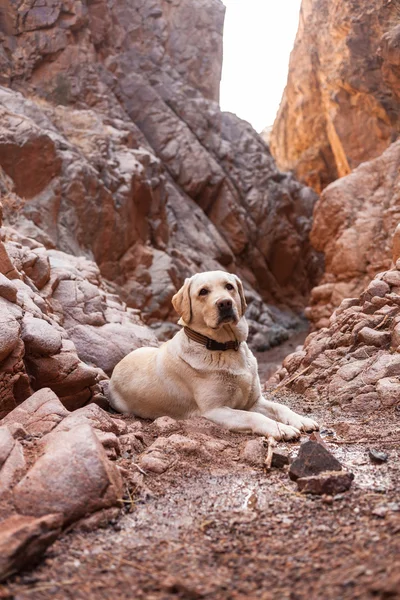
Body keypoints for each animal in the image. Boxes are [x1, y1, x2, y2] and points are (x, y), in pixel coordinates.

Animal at [109, 272, 318, 440]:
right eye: (203, 292)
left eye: (229, 286)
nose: (225, 303)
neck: (225, 348)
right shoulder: (215, 410)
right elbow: (253, 416)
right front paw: (280, 428)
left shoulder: (254, 401)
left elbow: (280, 407)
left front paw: (301, 420)